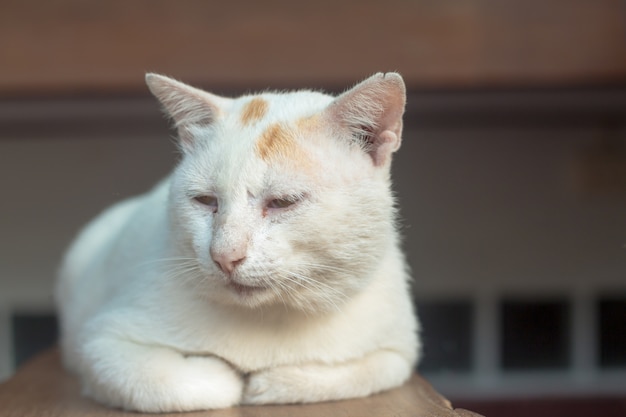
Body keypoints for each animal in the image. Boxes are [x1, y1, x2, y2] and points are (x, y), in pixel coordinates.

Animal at [54, 71, 420, 410]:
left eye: (283, 202)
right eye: (205, 200)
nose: (225, 256)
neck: (267, 318)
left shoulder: (398, 351)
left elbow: (360, 371)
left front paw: (271, 382)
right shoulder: (99, 343)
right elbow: (170, 383)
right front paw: (224, 375)